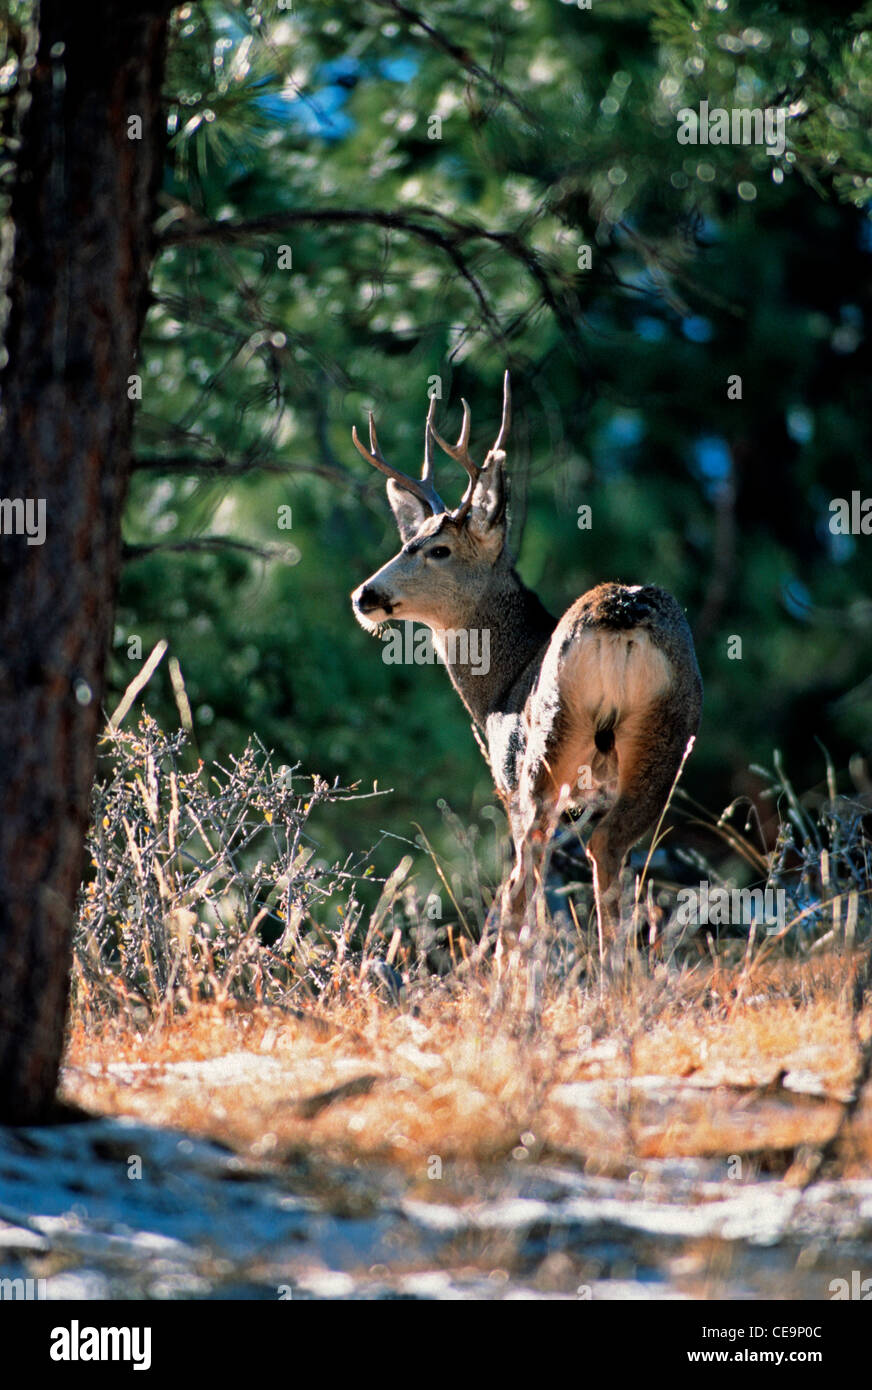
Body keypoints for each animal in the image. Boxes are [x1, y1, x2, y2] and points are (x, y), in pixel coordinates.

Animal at [350, 373, 702, 970]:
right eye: (405, 542)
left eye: (437, 549)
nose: (364, 596)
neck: (501, 684)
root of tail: (620, 616)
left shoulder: (507, 776)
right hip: (666, 737)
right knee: (613, 852)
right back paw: (616, 976)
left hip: (549, 744)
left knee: (524, 880)